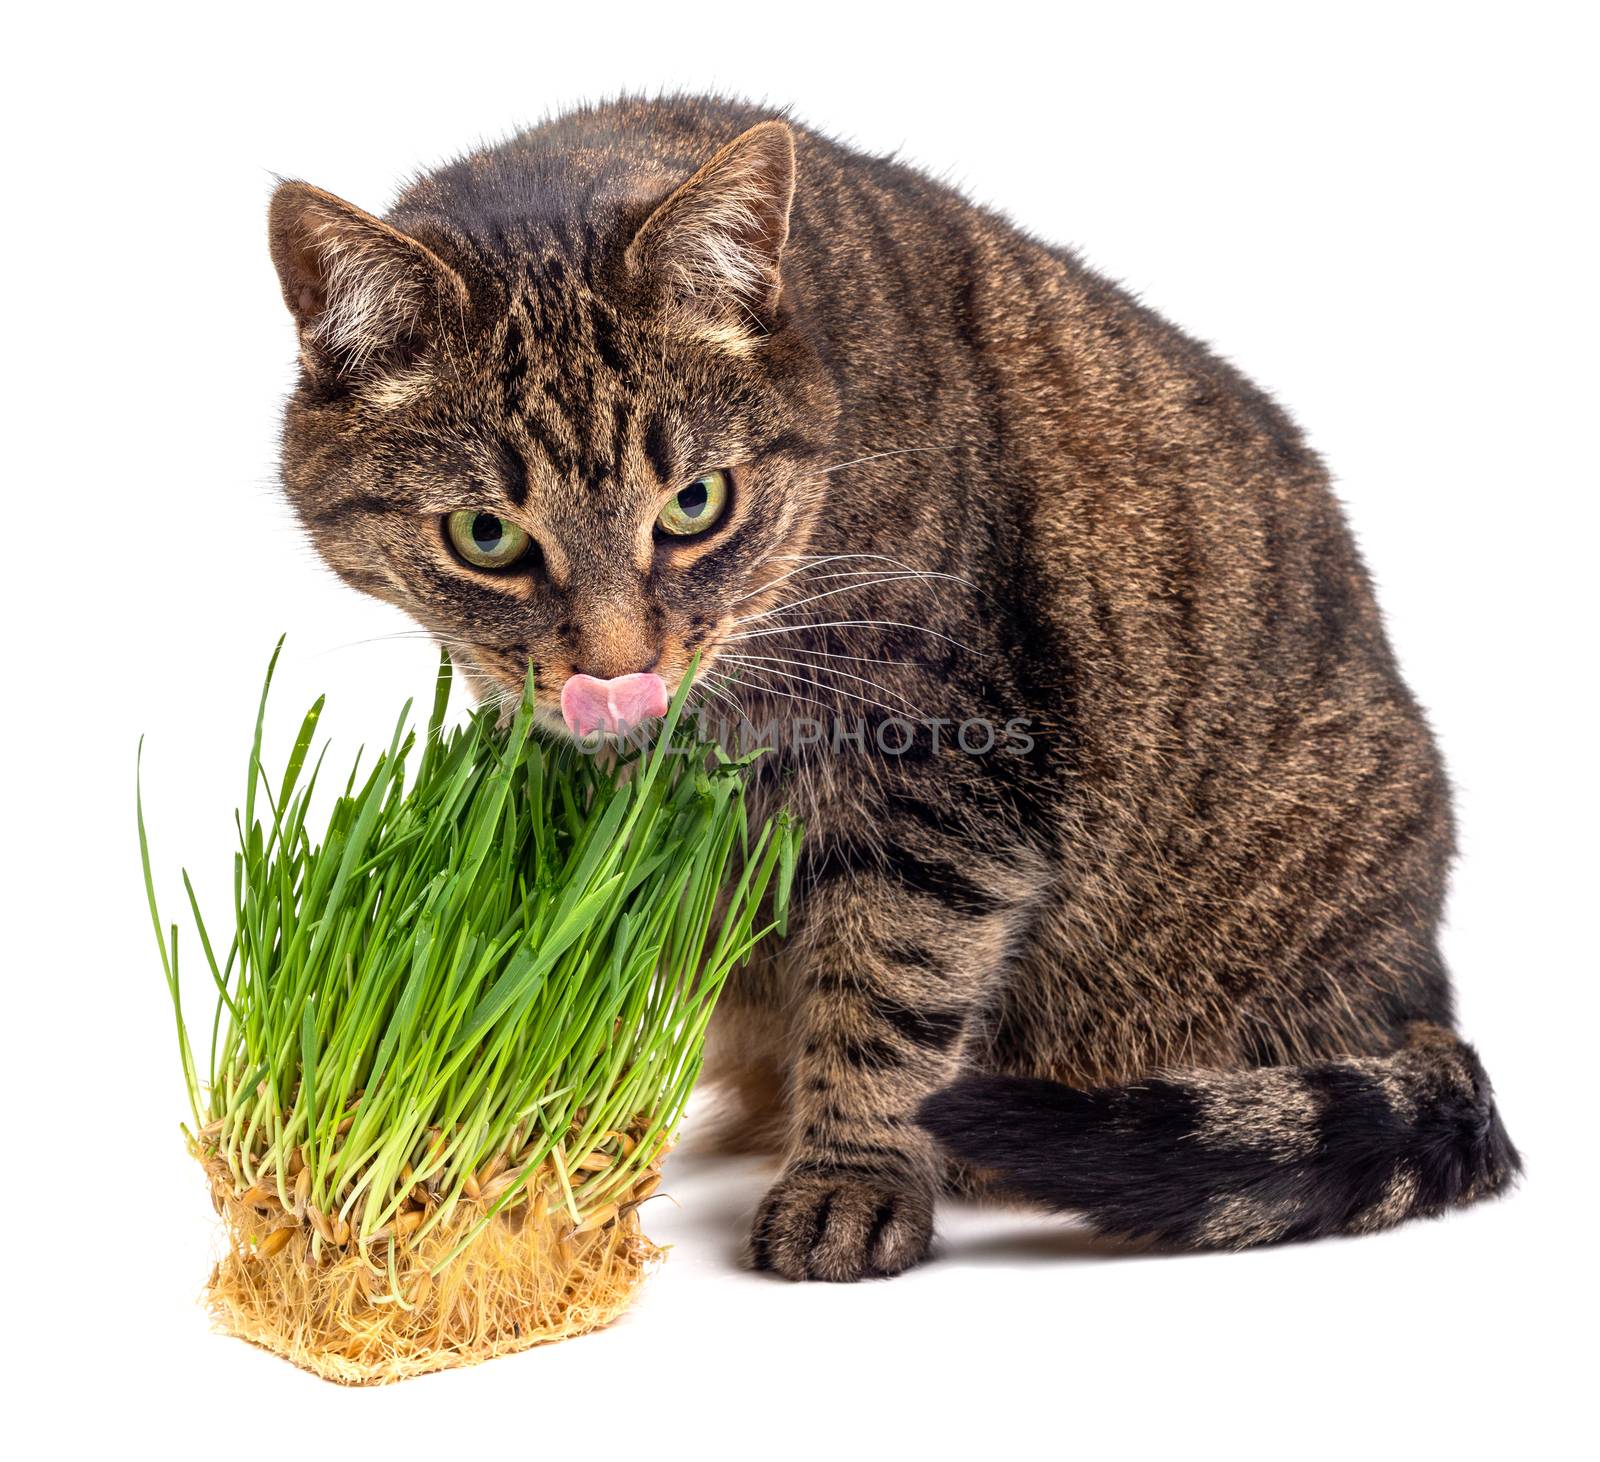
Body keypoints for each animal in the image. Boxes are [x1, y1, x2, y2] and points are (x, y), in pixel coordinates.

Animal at [268, 93, 1516, 1279]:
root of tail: (1420, 989)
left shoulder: (943, 789)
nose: (616, 670)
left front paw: (851, 1179)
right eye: (485, 535)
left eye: (694, 505)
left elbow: (885, 1001)